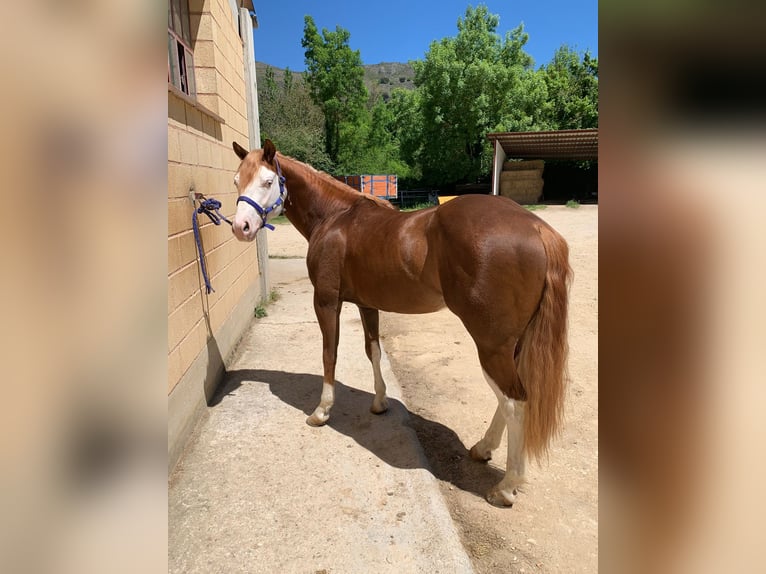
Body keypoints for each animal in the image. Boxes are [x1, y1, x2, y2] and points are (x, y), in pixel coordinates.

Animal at [228, 141, 568, 508]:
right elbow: (373, 351)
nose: (240, 227)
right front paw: (380, 403)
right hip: (510, 345)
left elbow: (329, 355)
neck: (335, 218)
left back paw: (505, 487)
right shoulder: (367, 305)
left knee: (514, 402)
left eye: (267, 181)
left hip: (490, 345)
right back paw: (483, 449)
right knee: (508, 399)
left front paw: (321, 411)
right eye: (236, 180)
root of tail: (536, 228)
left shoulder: (326, 302)